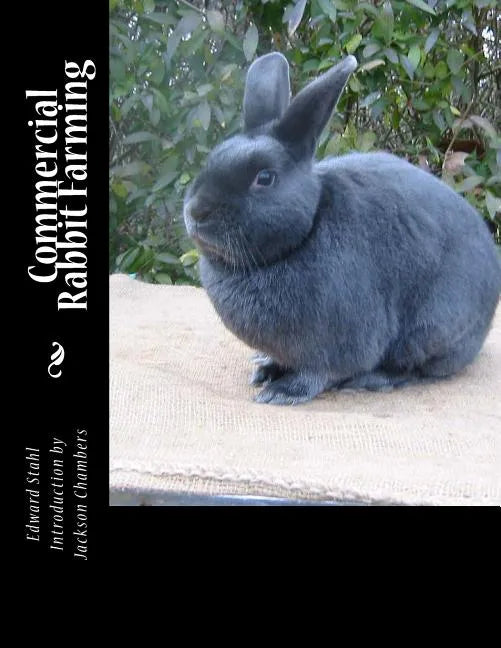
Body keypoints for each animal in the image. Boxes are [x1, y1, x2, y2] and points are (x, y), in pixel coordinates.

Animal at [183, 52, 501, 405]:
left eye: (264, 178)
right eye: (212, 159)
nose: (196, 211)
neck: (305, 232)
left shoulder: (339, 341)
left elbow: (319, 372)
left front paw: (281, 392)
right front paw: (265, 370)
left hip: (432, 329)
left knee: (414, 368)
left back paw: (371, 380)